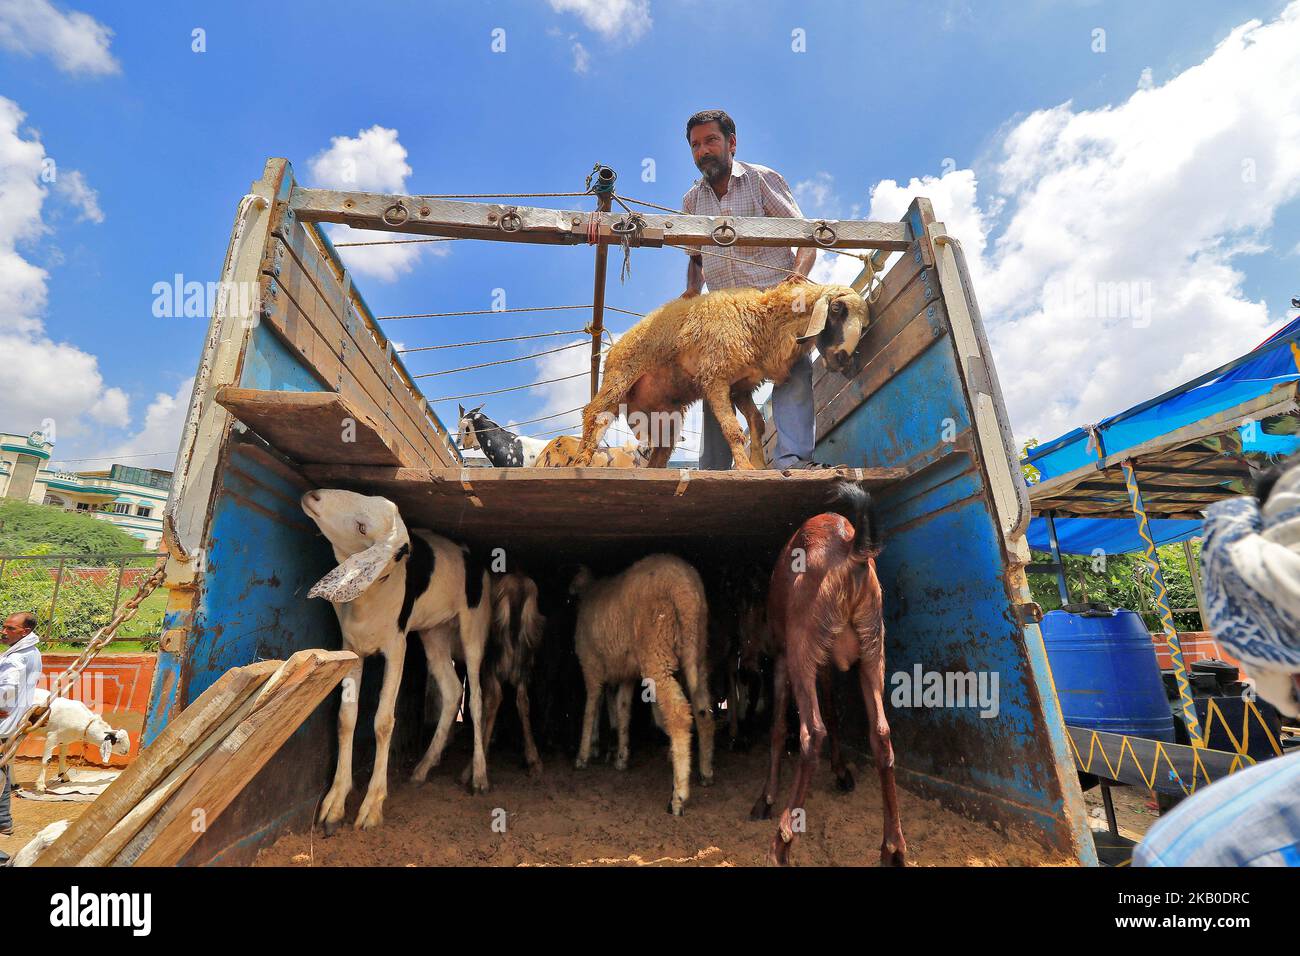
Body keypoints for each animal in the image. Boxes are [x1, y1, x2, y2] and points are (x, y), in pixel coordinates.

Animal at [301, 489, 493, 832]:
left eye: (362, 527)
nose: (314, 495)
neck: (375, 593)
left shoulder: (397, 647)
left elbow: (383, 721)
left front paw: (372, 806)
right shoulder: (351, 647)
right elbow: (346, 717)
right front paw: (335, 803)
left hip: (474, 627)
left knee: (475, 699)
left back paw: (480, 777)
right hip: (434, 632)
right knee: (452, 690)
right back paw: (423, 768)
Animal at [569, 554, 712, 816]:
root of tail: (686, 589)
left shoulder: (591, 665)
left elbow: (590, 707)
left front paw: (583, 756)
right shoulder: (625, 673)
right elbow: (623, 709)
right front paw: (620, 756)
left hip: (657, 652)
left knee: (679, 715)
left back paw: (678, 797)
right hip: (696, 650)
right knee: (703, 711)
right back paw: (706, 772)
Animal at [754, 486, 904, 868]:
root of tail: (849, 549)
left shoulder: (783, 657)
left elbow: (778, 727)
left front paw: (766, 797)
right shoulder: (825, 663)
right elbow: (835, 710)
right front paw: (841, 771)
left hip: (802, 650)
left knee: (812, 732)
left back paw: (781, 843)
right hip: (872, 650)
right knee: (881, 734)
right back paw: (893, 848)